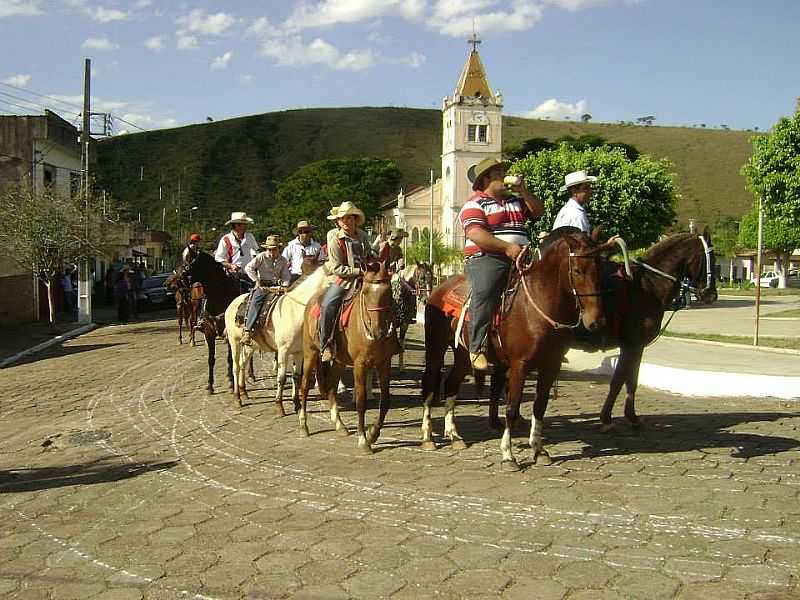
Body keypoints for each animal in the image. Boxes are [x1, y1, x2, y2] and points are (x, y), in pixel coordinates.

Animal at [182, 253, 242, 394]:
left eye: (193, 263)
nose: (182, 278)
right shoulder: (209, 333)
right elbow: (211, 359)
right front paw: (210, 385)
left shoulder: (229, 335)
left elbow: (230, 357)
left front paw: (232, 382)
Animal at [298, 258, 398, 454]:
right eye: (365, 292)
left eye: (388, 291)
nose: (378, 331)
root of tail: (313, 300)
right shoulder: (360, 365)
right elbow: (360, 401)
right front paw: (363, 440)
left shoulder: (384, 363)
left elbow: (386, 400)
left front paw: (373, 433)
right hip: (310, 353)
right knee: (304, 386)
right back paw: (304, 426)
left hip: (339, 361)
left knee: (331, 387)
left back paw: (339, 425)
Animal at [422, 227, 604, 472]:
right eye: (577, 270)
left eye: (600, 268)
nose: (595, 321)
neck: (537, 306)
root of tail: (437, 290)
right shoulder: (520, 365)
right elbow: (511, 407)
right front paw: (508, 456)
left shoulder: (551, 365)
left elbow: (539, 406)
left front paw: (539, 450)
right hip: (436, 347)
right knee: (430, 384)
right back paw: (428, 438)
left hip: (463, 355)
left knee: (451, 384)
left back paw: (455, 436)